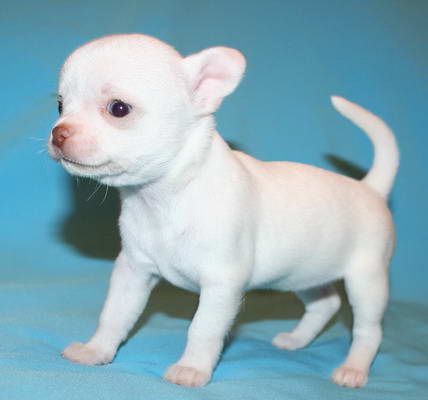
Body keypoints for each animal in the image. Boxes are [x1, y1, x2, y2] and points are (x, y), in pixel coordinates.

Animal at [48, 34, 399, 388]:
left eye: (118, 109)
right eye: (61, 105)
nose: (58, 132)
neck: (166, 198)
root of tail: (370, 188)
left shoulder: (221, 284)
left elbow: (203, 329)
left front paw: (192, 368)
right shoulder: (132, 270)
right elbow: (115, 315)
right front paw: (95, 350)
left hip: (366, 279)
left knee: (369, 329)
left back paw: (354, 368)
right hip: (304, 273)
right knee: (326, 304)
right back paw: (296, 340)